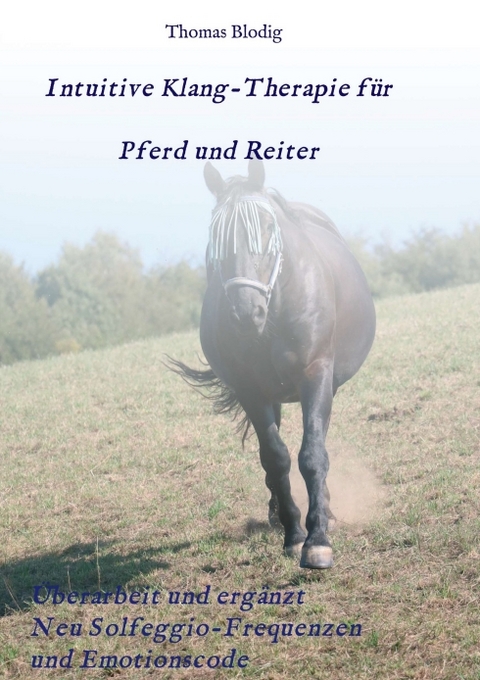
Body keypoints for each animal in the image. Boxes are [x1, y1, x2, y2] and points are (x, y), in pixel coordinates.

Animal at [171, 160, 376, 569]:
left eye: (266, 227)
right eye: (216, 236)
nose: (245, 313)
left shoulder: (316, 374)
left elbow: (312, 454)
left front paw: (318, 539)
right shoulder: (251, 390)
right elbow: (276, 457)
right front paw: (294, 532)